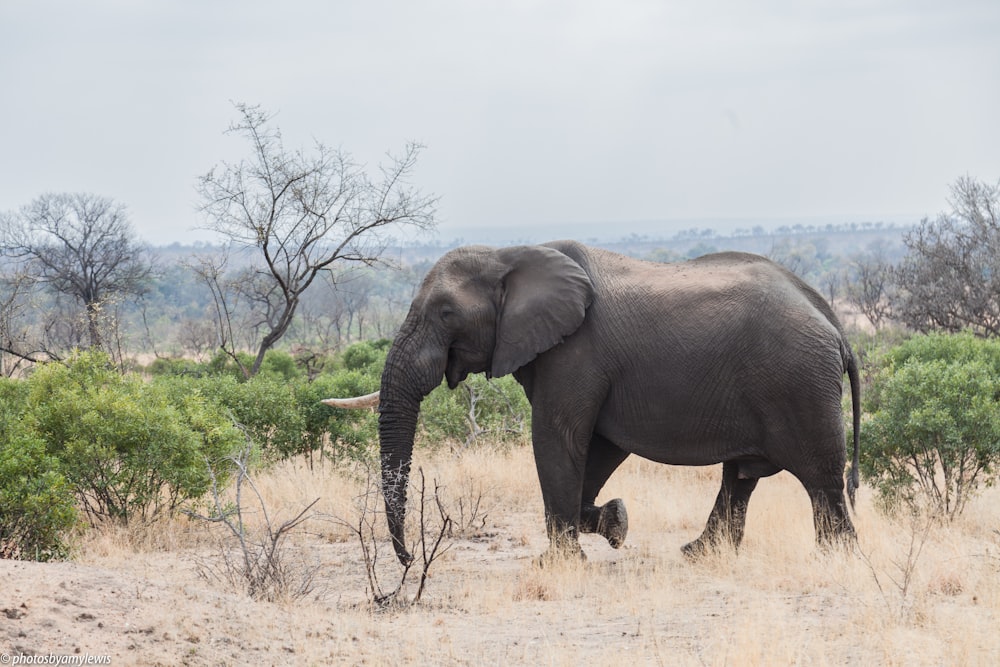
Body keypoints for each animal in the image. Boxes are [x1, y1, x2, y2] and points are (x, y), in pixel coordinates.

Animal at [326, 240, 860, 564]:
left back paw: (835, 558)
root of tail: (835, 326)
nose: (409, 559)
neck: (510, 256)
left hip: (800, 383)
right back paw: (697, 554)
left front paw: (558, 563)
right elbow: (599, 447)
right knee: (742, 477)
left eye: (444, 313)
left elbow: (557, 437)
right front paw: (616, 523)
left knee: (821, 480)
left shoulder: (575, 354)